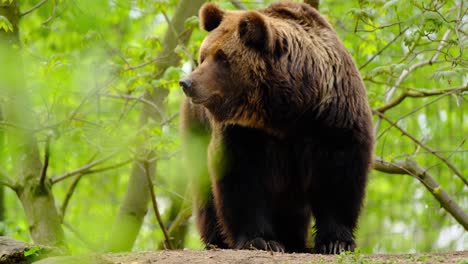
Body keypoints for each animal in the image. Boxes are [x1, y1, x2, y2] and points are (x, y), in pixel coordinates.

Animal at [179, 1, 372, 254]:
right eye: (204, 56)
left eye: (222, 57)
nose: (187, 82)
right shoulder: (244, 132)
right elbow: (242, 177)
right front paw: (260, 239)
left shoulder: (333, 117)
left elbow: (338, 173)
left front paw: (336, 241)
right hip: (198, 128)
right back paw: (216, 240)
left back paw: (295, 240)